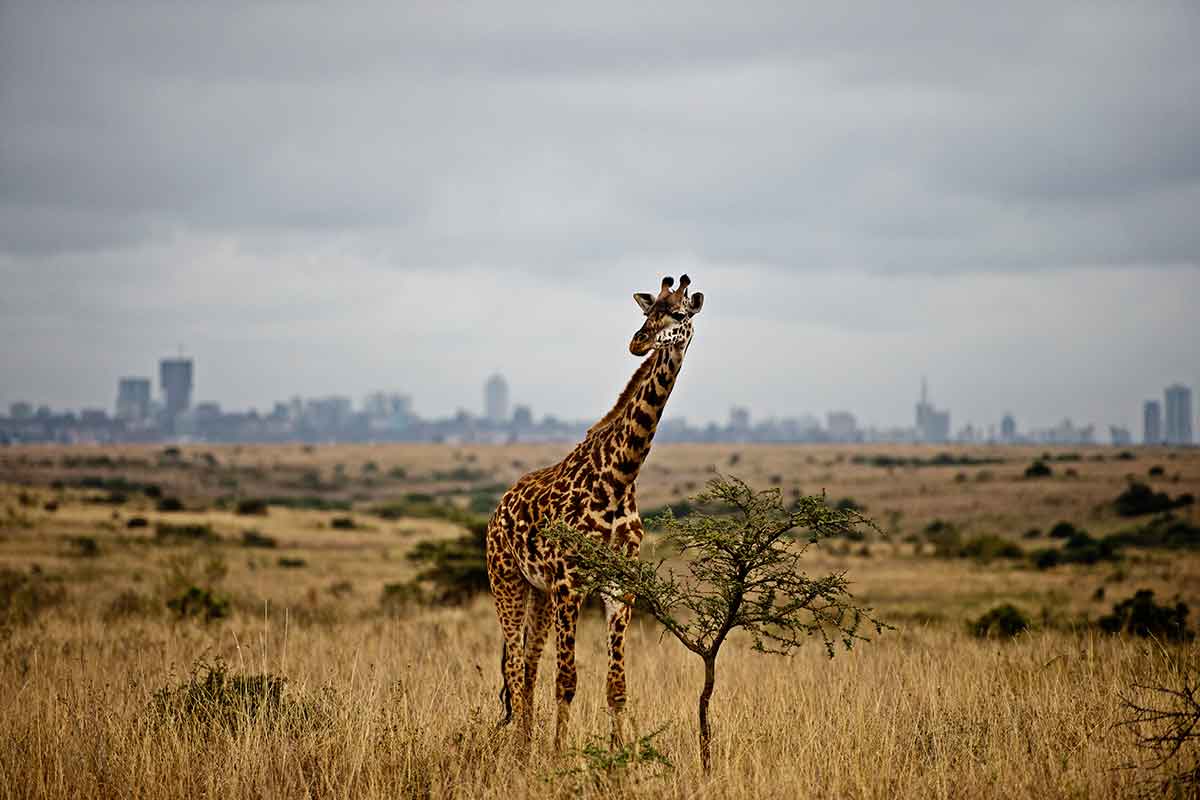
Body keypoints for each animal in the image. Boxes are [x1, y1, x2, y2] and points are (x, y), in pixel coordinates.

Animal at [486, 274, 704, 757]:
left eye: (679, 313)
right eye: (647, 312)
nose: (638, 342)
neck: (619, 477)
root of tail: (497, 509)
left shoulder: (619, 585)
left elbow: (616, 684)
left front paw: (621, 753)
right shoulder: (571, 583)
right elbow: (567, 680)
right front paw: (559, 755)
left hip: (539, 591)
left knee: (528, 664)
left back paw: (525, 743)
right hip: (506, 581)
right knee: (514, 664)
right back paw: (520, 750)